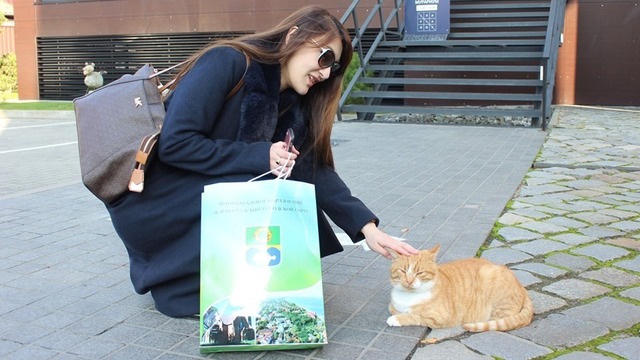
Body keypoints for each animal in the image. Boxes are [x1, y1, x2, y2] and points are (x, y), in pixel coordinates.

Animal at [388, 245, 532, 332]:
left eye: (419, 273)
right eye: (402, 271)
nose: (409, 281)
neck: (408, 297)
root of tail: (521, 286)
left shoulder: (439, 318)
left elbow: (414, 316)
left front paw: (397, 319)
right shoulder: (393, 305)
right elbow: (393, 309)